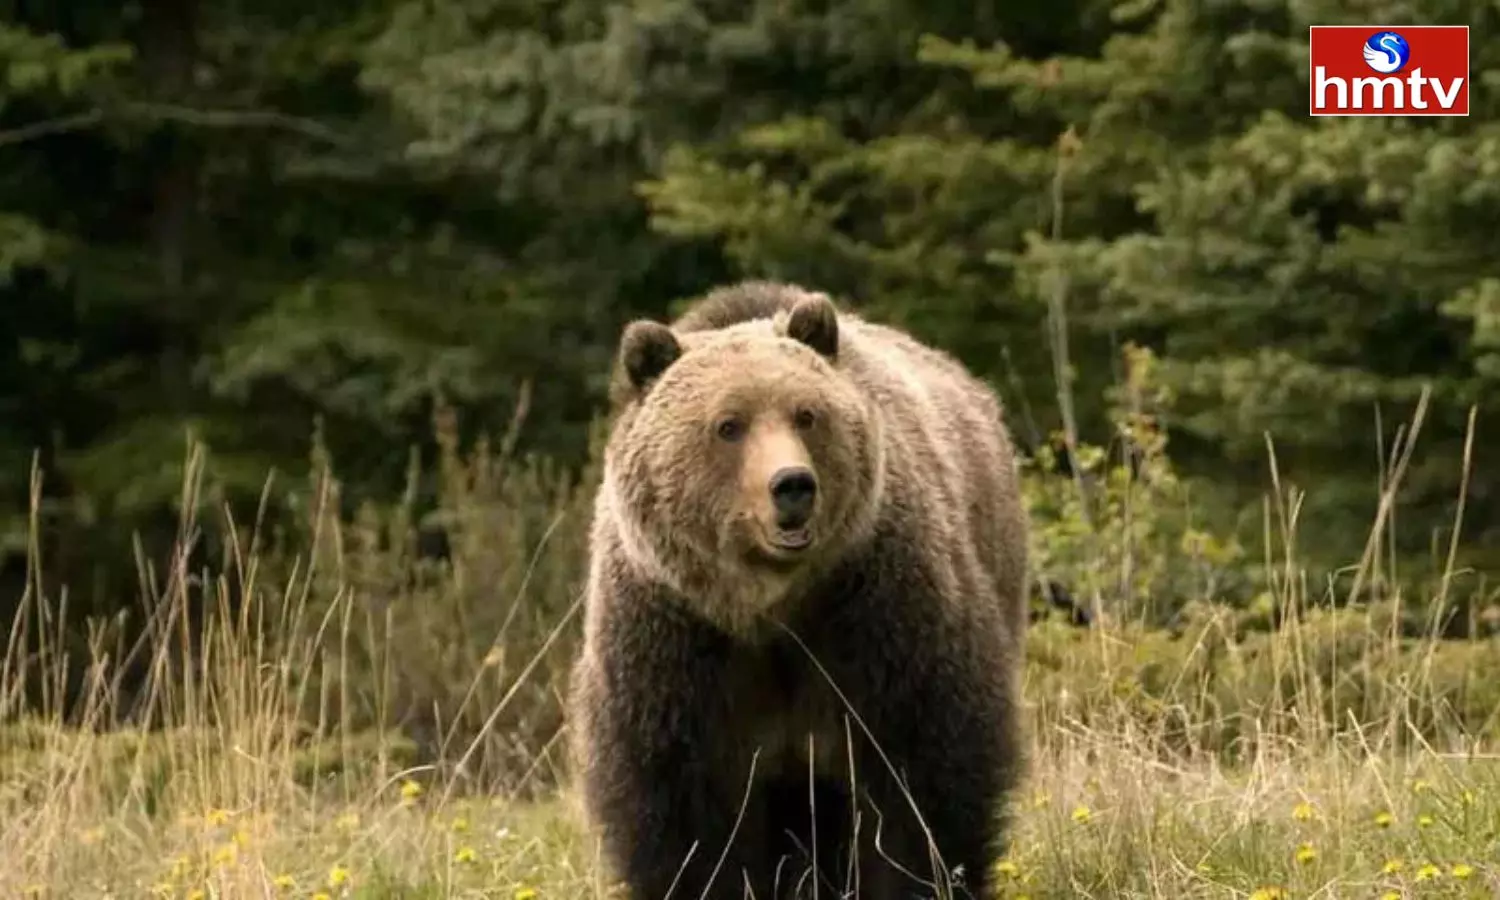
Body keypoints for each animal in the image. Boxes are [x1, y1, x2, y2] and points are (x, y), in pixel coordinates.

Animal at [567, 281, 1029, 900]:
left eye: (806, 414)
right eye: (728, 424)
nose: (792, 485)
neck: (770, 606)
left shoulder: (876, 614)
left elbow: (922, 774)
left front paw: (920, 877)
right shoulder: (676, 642)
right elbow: (682, 809)